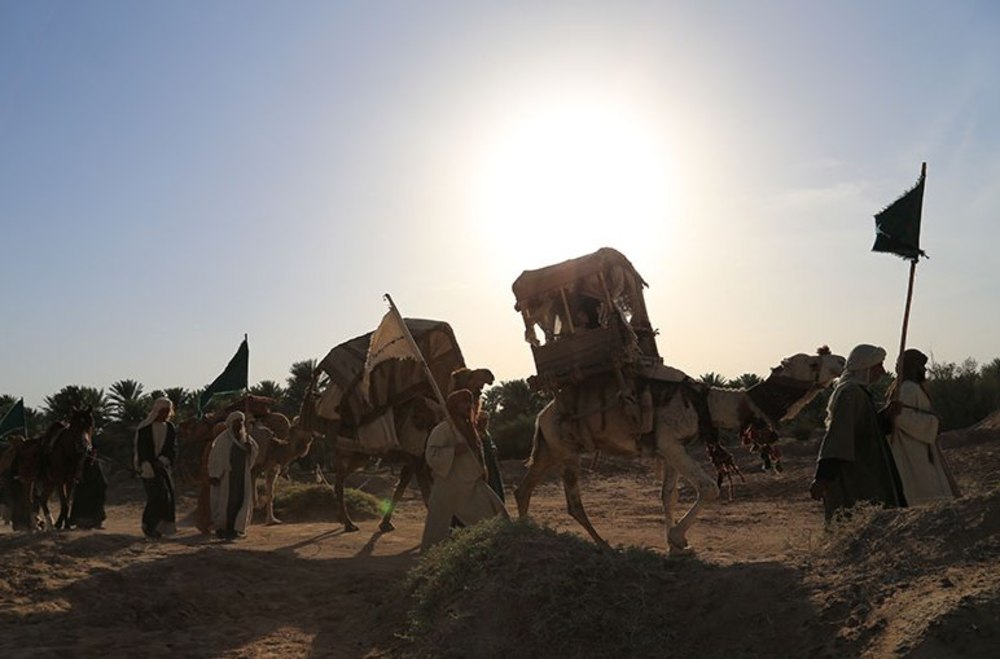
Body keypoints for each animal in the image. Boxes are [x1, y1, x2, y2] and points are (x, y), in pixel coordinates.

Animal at [516, 348, 844, 556]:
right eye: (812, 362)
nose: (840, 360)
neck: (707, 404)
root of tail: (541, 414)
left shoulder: (672, 448)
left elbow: (668, 495)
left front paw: (674, 544)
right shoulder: (670, 443)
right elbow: (709, 488)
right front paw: (677, 538)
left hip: (550, 448)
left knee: (525, 487)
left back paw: (524, 531)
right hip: (566, 449)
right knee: (572, 502)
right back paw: (605, 546)